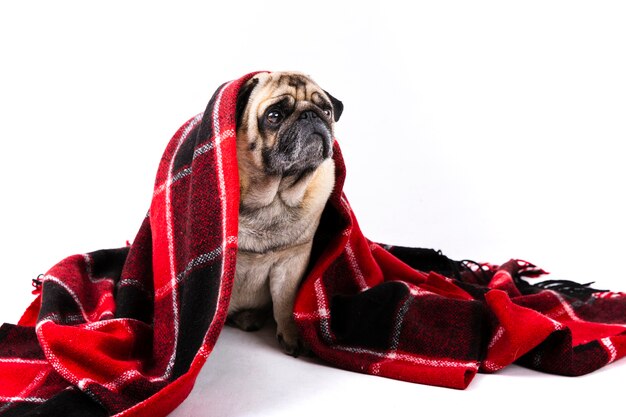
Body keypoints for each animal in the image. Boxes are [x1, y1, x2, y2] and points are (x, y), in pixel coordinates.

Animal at [227, 70, 338, 354]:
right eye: (274, 115)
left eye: (326, 110)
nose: (310, 115)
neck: (272, 197)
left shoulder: (291, 261)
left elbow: (285, 304)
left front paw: (292, 336)